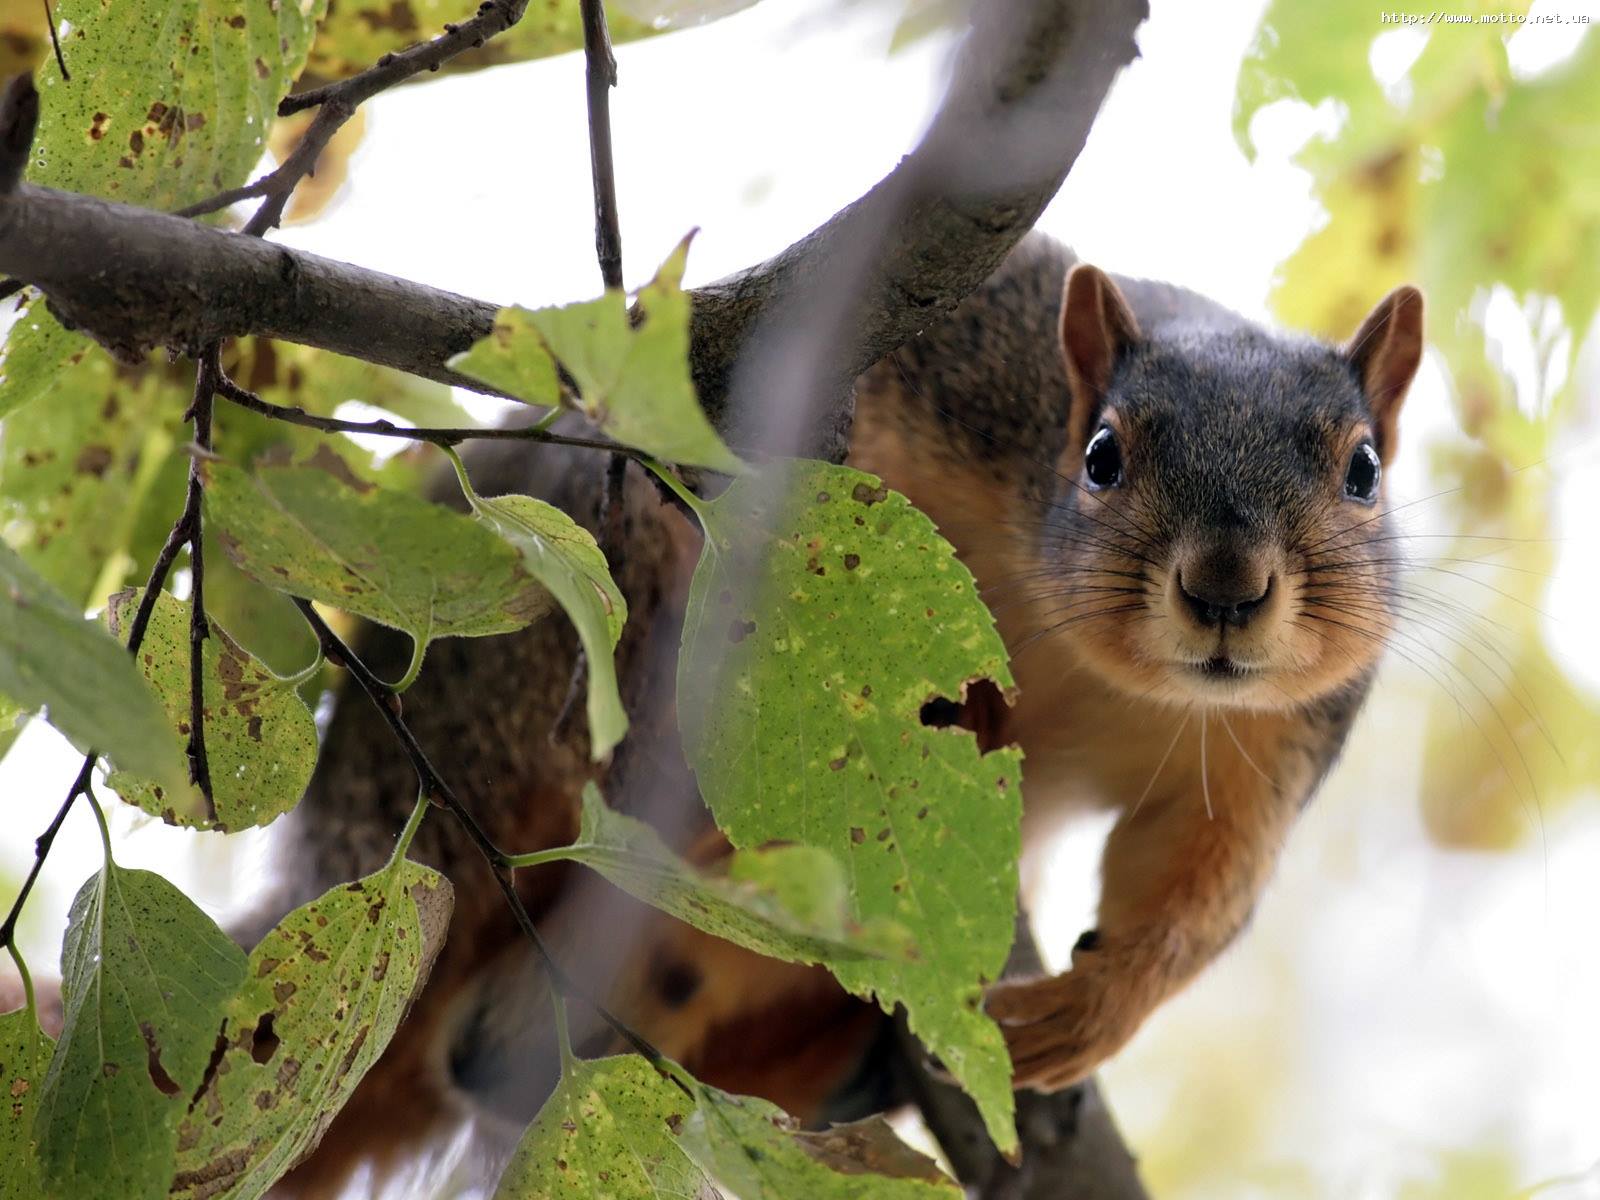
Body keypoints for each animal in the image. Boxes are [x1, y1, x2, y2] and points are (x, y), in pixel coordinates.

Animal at [249, 232, 1427, 1196]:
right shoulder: (933, 373)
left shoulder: (1272, 748)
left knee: (488, 1052)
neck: (1099, 673)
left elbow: (1197, 889)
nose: (1226, 589)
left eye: (1364, 471)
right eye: (1102, 455)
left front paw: (1088, 1010)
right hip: (554, 642)